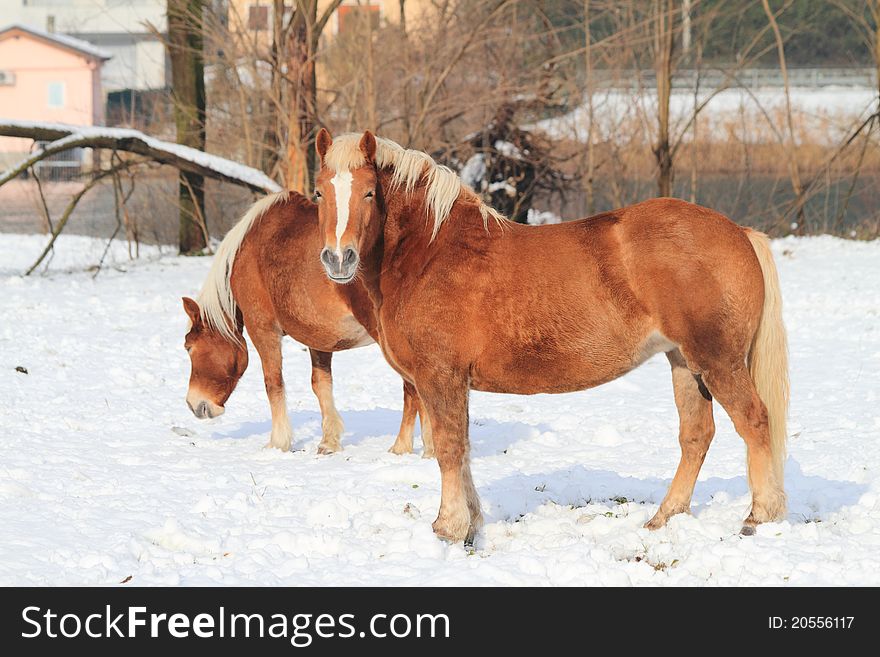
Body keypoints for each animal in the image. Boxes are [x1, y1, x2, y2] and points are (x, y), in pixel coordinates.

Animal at [183, 190, 436, 456]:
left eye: (188, 348)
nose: (193, 404)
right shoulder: (318, 338)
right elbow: (321, 385)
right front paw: (329, 442)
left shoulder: (262, 329)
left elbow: (273, 383)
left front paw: (278, 442)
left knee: (411, 389)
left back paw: (401, 446)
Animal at [312, 129, 792, 544]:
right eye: (319, 192)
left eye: (369, 192)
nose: (338, 259)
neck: (431, 252)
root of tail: (738, 233)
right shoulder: (451, 383)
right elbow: (462, 448)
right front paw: (471, 523)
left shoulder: (440, 377)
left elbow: (449, 447)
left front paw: (448, 527)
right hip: (684, 362)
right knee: (696, 435)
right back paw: (664, 517)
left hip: (717, 360)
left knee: (754, 421)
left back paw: (760, 515)